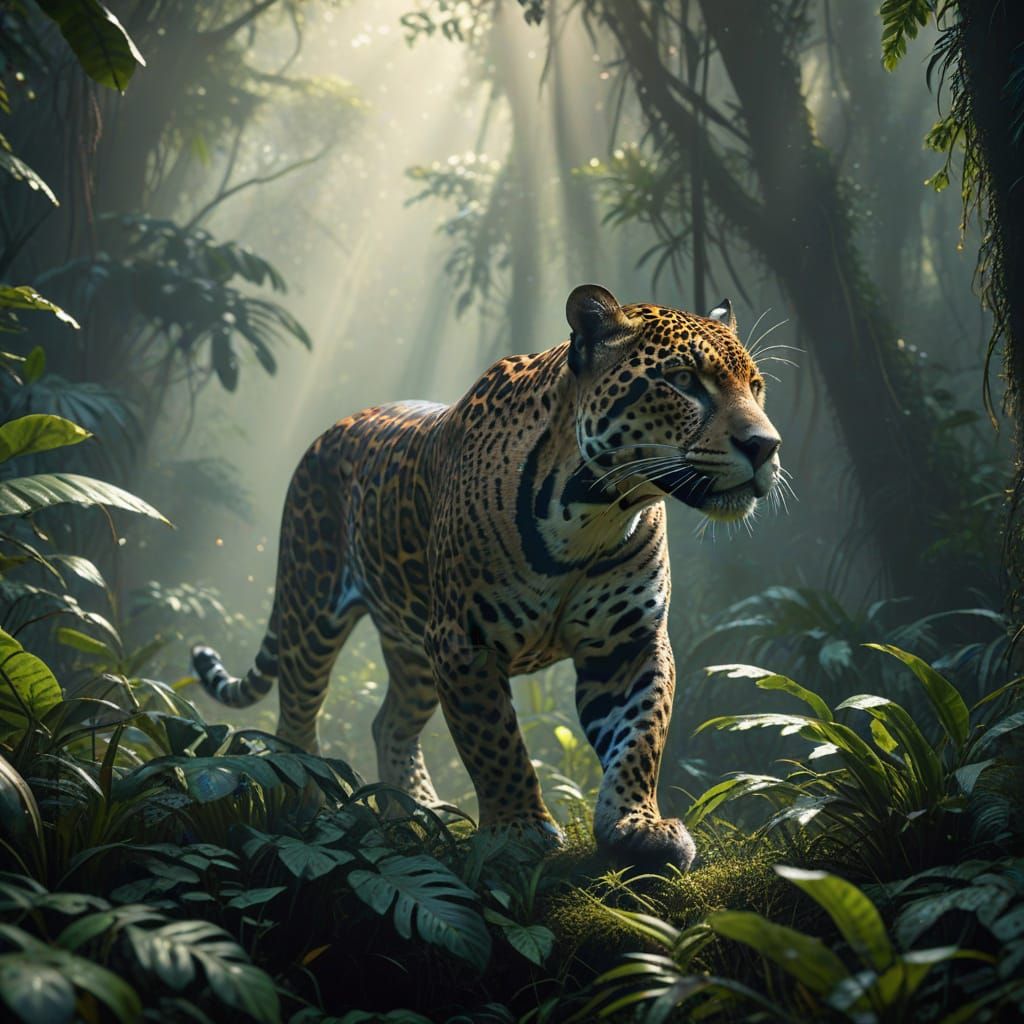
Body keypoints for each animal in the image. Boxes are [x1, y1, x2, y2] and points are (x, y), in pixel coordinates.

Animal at [191, 285, 782, 870]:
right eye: (683, 381)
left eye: (756, 387)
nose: (766, 446)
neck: (594, 511)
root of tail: (327, 434)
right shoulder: (462, 642)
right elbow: (496, 742)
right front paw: (519, 831)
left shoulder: (628, 642)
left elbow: (640, 736)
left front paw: (637, 826)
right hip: (310, 610)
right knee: (293, 720)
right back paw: (307, 807)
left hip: (412, 647)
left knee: (390, 722)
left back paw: (422, 812)